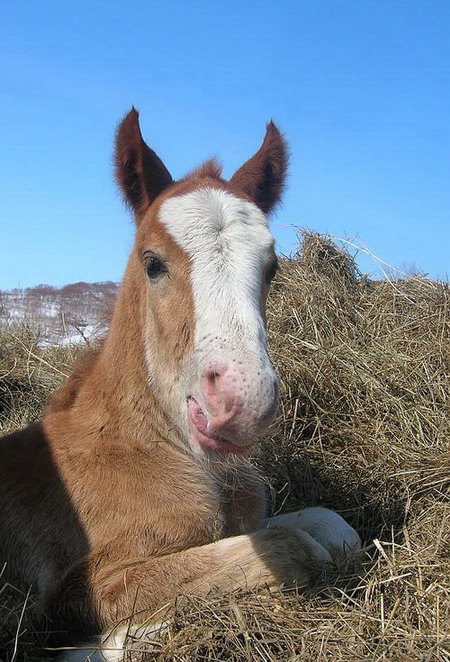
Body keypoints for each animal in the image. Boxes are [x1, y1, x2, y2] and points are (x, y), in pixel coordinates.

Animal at [0, 111, 360, 660]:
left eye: (272, 267)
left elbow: (333, 528)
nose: (240, 402)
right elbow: (294, 549)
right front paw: (116, 639)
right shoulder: (84, 584)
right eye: (152, 262)